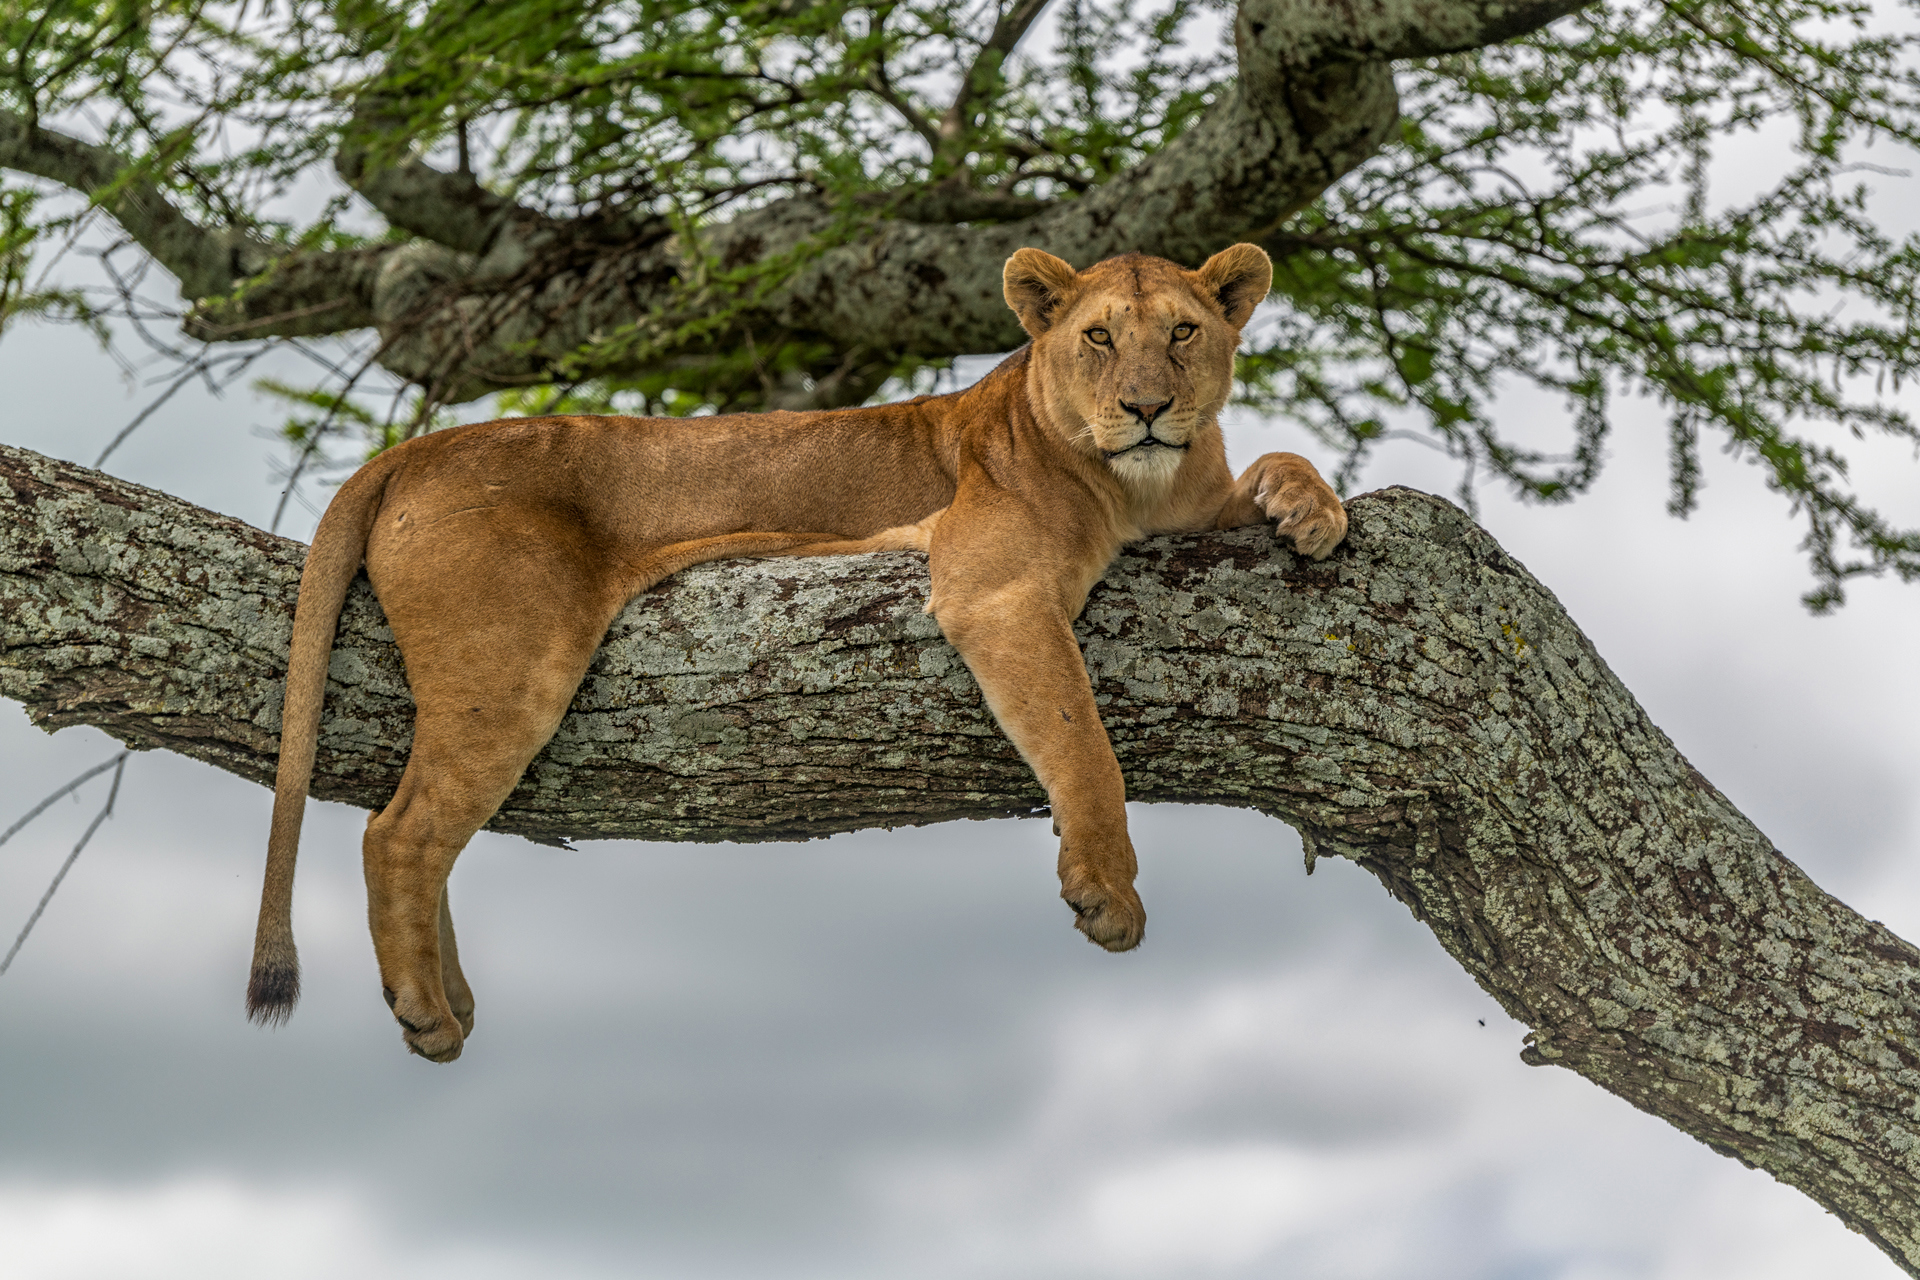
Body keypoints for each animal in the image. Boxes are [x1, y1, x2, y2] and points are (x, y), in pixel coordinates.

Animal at [249, 243, 1348, 1060]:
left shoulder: (1190, 505)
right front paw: (1108, 892)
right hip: (509, 665)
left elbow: (1276, 456)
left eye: (1183, 331)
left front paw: (1313, 508)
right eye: (1099, 338)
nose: (1147, 407)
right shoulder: (990, 588)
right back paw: (428, 1011)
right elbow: (1083, 741)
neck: (1139, 489)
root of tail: (415, 448)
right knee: (399, 832)